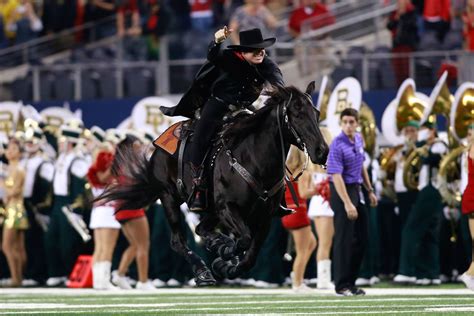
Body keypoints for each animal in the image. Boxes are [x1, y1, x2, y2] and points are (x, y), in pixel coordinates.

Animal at [100, 82, 330, 286]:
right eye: (297, 114)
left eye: (316, 113)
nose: (322, 151)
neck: (254, 160)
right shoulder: (227, 208)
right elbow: (244, 240)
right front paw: (225, 255)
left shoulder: (264, 217)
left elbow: (251, 255)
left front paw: (226, 263)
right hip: (169, 197)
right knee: (178, 241)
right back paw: (203, 270)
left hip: (210, 210)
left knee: (201, 229)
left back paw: (217, 244)